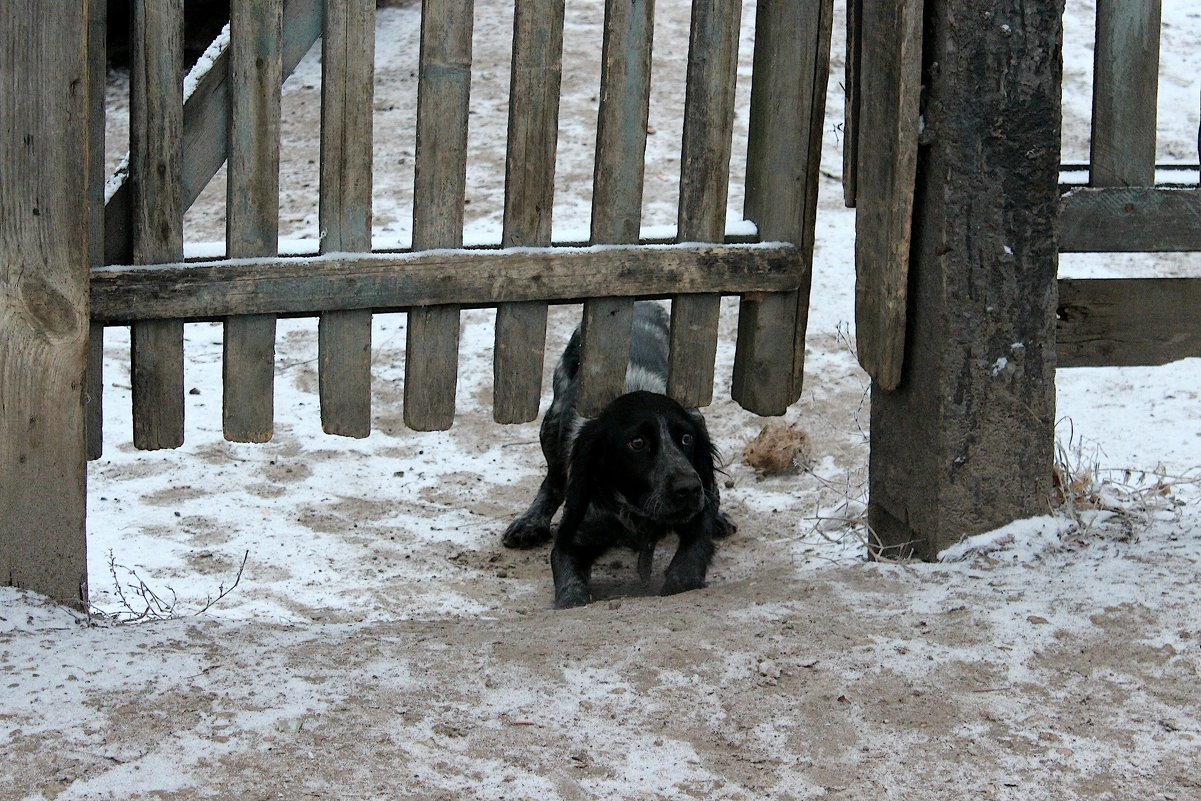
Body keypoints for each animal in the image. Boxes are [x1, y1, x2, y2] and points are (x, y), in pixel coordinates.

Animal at [499, 300, 730, 607]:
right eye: (637, 443)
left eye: (686, 438)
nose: (689, 488)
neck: (637, 513)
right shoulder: (572, 539)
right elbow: (572, 592)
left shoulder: (696, 520)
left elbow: (687, 567)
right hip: (553, 420)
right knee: (553, 481)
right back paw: (530, 522)